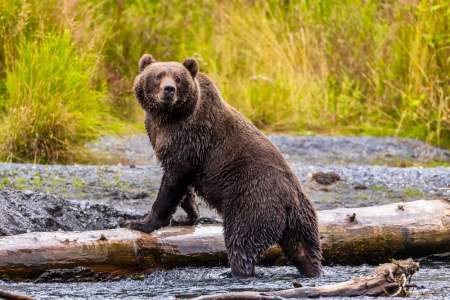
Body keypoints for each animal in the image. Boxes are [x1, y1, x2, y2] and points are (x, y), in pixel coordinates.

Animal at [125, 54, 322, 276]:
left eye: (177, 78)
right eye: (158, 75)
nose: (169, 89)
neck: (168, 118)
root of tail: (290, 202)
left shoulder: (190, 138)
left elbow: (172, 183)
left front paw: (138, 222)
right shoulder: (161, 134)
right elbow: (182, 185)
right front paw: (188, 214)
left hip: (252, 200)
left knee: (241, 239)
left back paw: (236, 271)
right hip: (302, 221)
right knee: (304, 249)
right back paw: (312, 269)